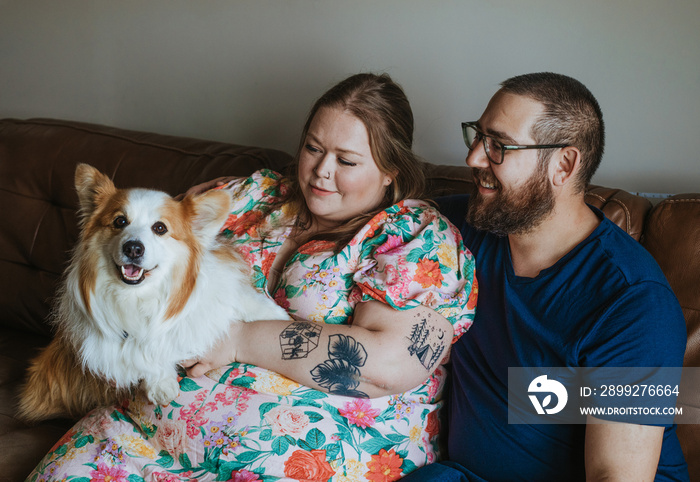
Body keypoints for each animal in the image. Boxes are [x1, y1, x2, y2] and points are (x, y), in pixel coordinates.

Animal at [19, 164, 288, 420]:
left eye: (160, 228)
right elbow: (143, 353)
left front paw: (278, 317)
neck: (140, 295)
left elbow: (245, 300)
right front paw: (161, 382)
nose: (133, 248)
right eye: (120, 221)